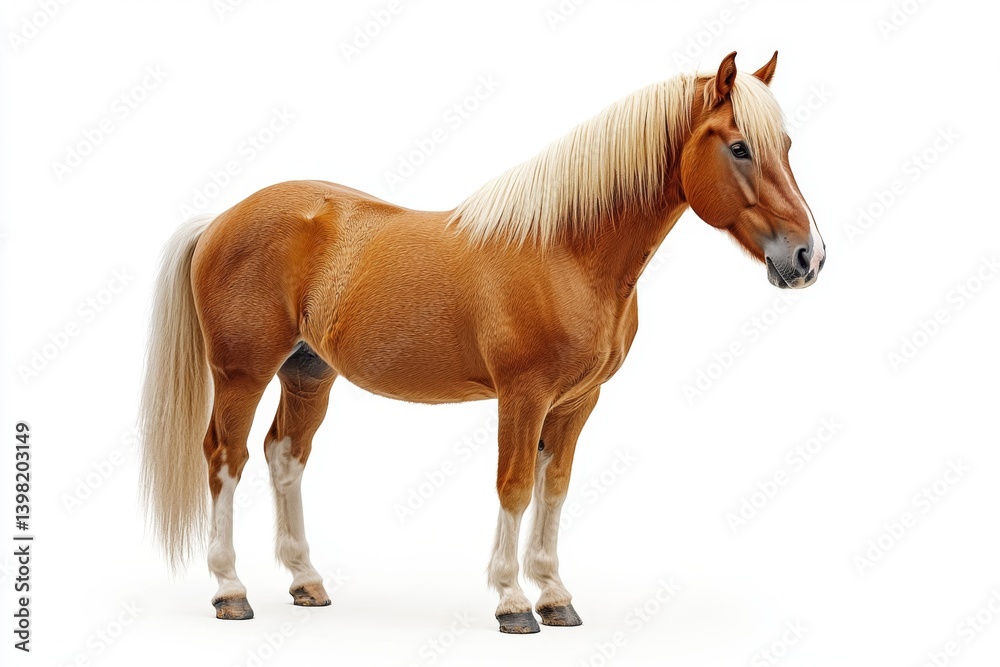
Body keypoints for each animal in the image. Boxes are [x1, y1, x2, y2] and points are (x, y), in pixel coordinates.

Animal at [139, 51, 825, 634]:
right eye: (739, 147)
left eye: (787, 145)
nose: (807, 257)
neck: (566, 250)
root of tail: (222, 218)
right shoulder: (523, 396)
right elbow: (515, 485)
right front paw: (513, 602)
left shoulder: (577, 403)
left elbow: (555, 488)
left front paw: (556, 597)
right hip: (242, 372)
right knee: (225, 459)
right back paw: (230, 590)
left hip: (308, 373)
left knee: (285, 456)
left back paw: (306, 581)